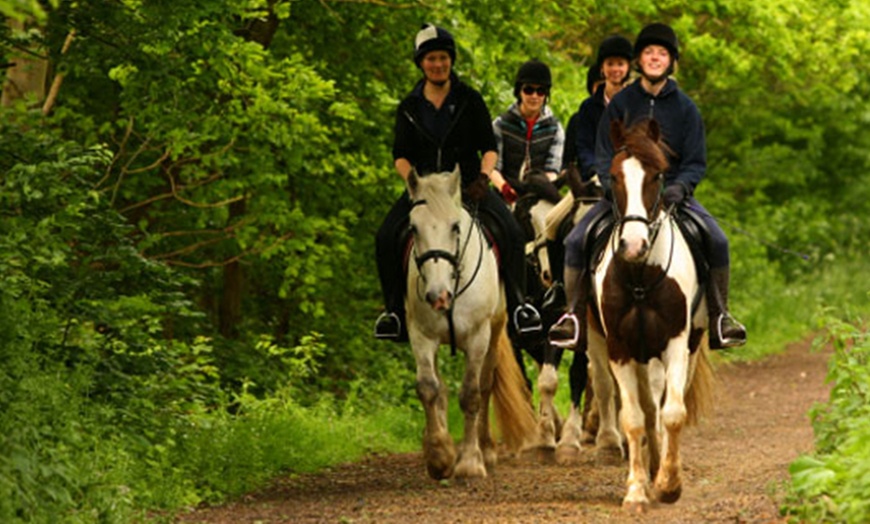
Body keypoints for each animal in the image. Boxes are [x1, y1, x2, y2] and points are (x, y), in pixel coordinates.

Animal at [408, 167, 540, 478]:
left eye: (455, 227)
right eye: (414, 228)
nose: (438, 296)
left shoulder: (478, 336)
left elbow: (471, 393)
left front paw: (469, 462)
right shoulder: (421, 335)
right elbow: (429, 388)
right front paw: (439, 455)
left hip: (495, 331)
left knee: (485, 384)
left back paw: (487, 450)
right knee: (442, 388)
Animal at [588, 118, 720, 512]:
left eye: (657, 175)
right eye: (613, 176)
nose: (633, 245)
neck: (641, 277)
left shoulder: (675, 343)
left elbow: (673, 413)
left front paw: (669, 484)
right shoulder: (618, 348)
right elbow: (633, 418)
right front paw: (636, 490)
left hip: (685, 347)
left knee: (665, 404)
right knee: (646, 408)